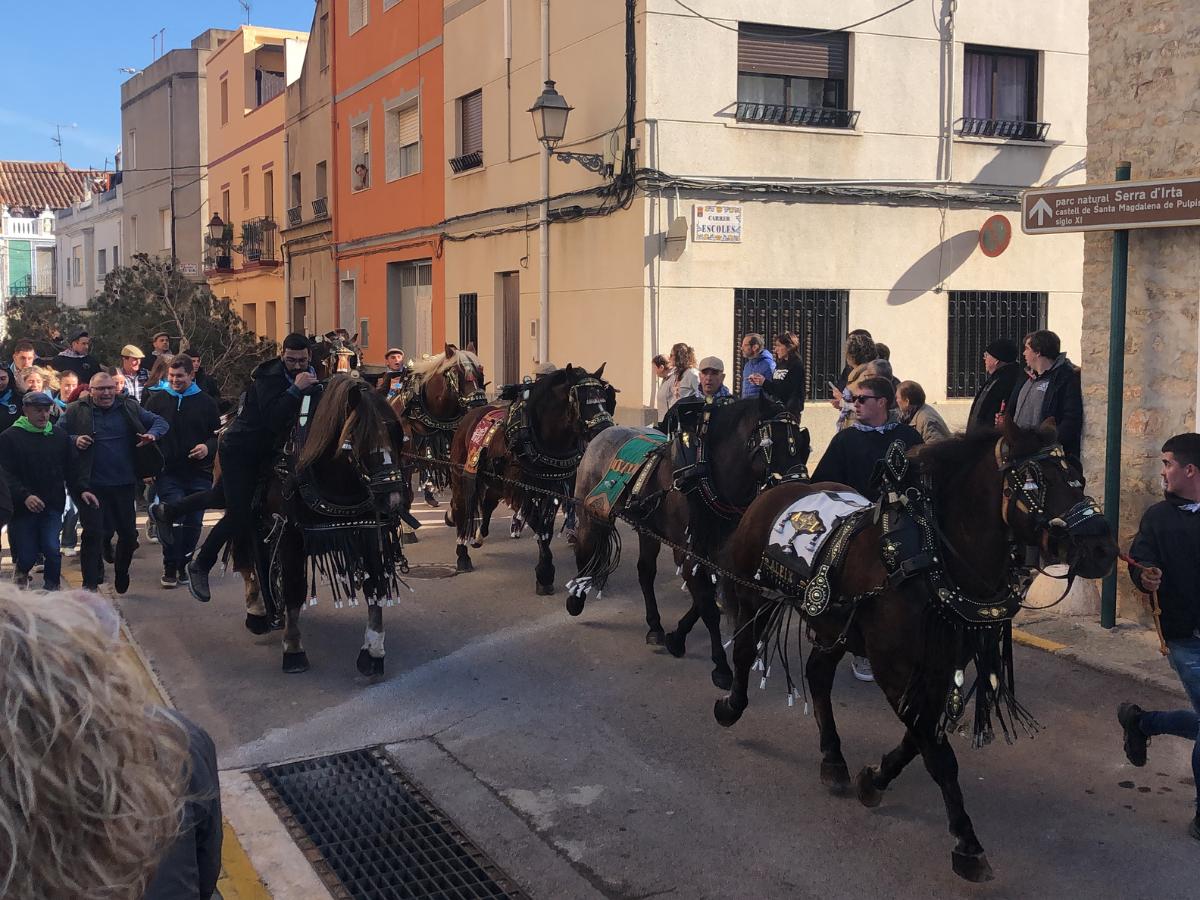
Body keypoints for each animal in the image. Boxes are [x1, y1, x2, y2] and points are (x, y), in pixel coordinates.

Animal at [448, 362, 614, 595]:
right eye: (581, 400)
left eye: (603, 397)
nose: (605, 430)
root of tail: (472, 414)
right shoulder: (522, 491)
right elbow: (539, 526)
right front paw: (545, 573)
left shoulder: (552, 490)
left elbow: (545, 528)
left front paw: (545, 572)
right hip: (461, 477)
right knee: (462, 508)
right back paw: (462, 554)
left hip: (496, 482)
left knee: (488, 503)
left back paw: (479, 536)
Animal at [566, 396, 811, 691]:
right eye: (771, 442)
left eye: (801, 442)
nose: (798, 490)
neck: (705, 473)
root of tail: (601, 434)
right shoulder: (689, 553)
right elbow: (708, 607)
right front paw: (721, 667)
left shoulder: (716, 554)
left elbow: (705, 600)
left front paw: (677, 637)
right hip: (590, 510)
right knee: (584, 548)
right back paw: (576, 597)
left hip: (647, 528)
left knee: (645, 572)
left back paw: (655, 627)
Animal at [710, 422, 1113, 883]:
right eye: (1036, 482)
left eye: (1078, 477)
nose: (1103, 548)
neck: (930, 561)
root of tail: (778, 488)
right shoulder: (895, 668)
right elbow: (937, 753)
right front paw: (967, 843)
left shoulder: (942, 664)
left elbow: (920, 737)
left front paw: (874, 779)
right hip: (753, 594)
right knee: (745, 651)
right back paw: (730, 706)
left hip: (834, 625)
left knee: (818, 675)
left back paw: (833, 759)